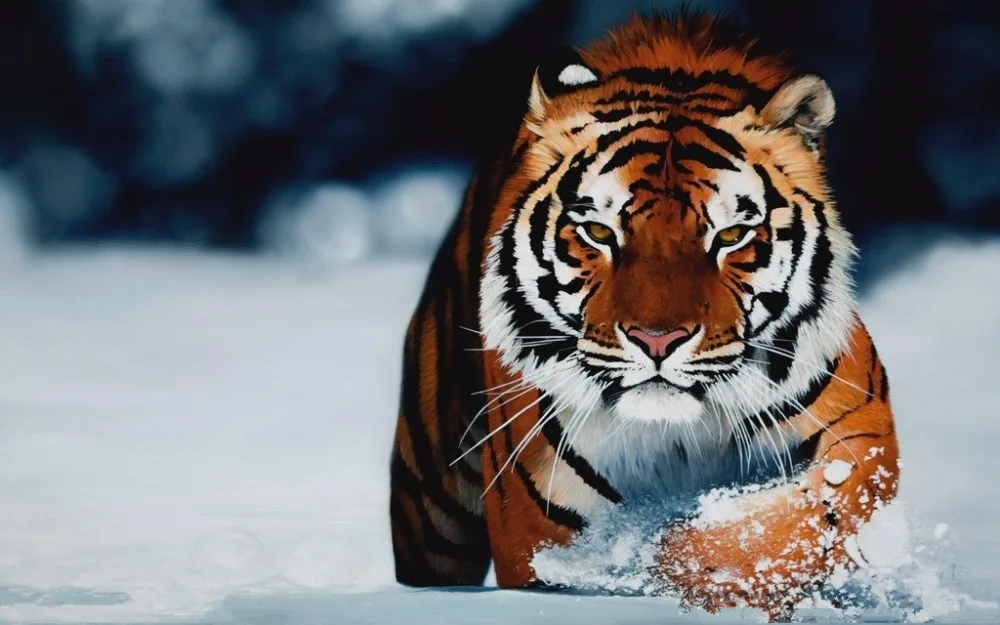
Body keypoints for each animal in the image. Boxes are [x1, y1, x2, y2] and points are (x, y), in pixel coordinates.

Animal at [388, 10, 899, 619]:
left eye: (730, 236)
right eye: (598, 232)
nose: (657, 341)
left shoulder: (860, 432)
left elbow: (794, 523)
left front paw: (680, 559)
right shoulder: (538, 518)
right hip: (431, 505)